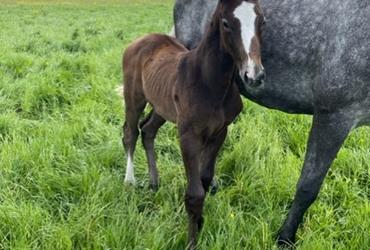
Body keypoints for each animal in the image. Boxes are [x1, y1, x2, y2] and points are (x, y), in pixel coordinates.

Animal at [123, 0, 264, 248]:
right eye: (226, 23)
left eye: (262, 21)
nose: (253, 76)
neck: (210, 83)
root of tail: (141, 40)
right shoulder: (188, 135)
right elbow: (195, 193)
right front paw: (192, 241)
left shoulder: (220, 131)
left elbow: (205, 180)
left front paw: (200, 223)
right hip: (134, 98)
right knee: (130, 133)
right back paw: (130, 181)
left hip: (162, 106)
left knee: (147, 130)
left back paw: (154, 183)